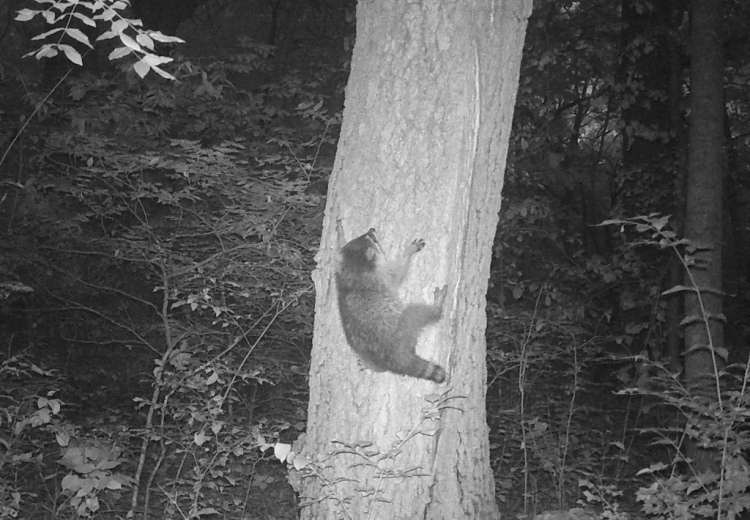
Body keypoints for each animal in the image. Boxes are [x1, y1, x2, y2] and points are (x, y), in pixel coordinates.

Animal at [338, 226, 450, 382]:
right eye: (373, 240)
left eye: (364, 236)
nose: (372, 229)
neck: (352, 267)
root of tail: (395, 358)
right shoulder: (381, 275)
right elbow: (398, 273)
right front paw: (408, 252)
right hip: (403, 328)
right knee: (414, 312)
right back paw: (436, 309)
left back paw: (370, 366)